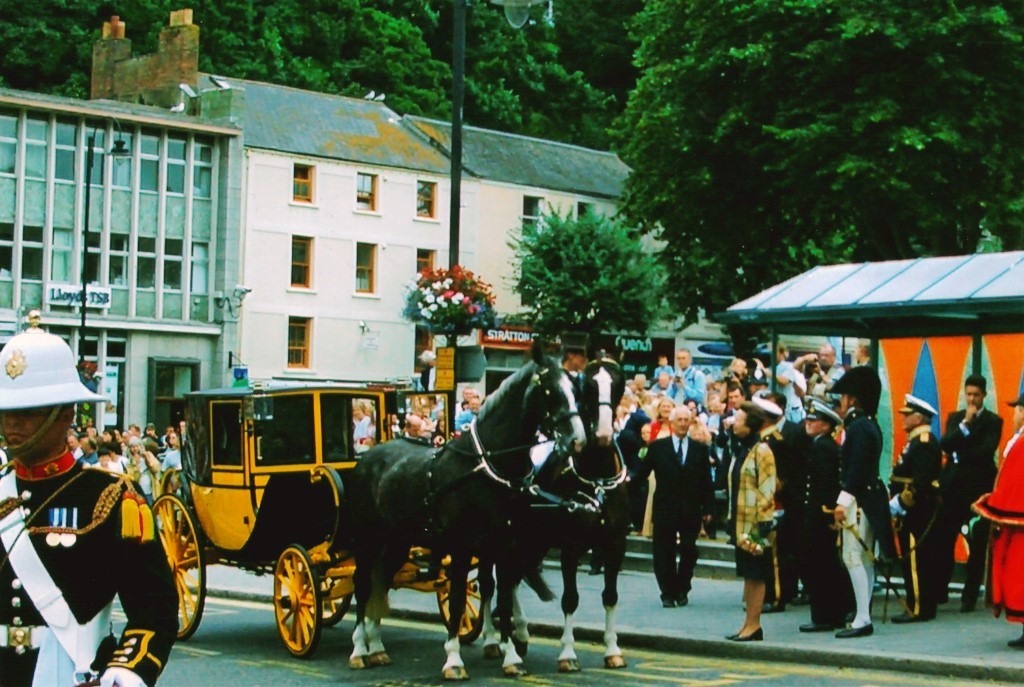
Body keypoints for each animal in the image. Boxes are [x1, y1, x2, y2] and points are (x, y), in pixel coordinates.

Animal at [344, 346, 585, 679]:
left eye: (575, 389)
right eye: (549, 391)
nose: (577, 439)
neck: (487, 467)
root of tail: (370, 456)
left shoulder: (505, 546)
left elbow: (504, 599)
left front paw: (511, 657)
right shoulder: (460, 546)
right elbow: (458, 600)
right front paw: (454, 660)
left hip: (396, 542)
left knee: (381, 582)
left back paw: (377, 646)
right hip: (367, 539)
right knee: (363, 585)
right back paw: (358, 648)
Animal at [479, 360, 630, 671]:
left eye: (619, 382)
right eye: (587, 385)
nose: (603, 433)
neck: (597, 478)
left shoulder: (615, 544)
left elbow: (610, 597)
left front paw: (612, 649)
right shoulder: (571, 546)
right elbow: (570, 599)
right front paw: (568, 653)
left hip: (532, 540)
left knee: (511, 578)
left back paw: (519, 633)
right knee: (489, 584)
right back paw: (491, 639)